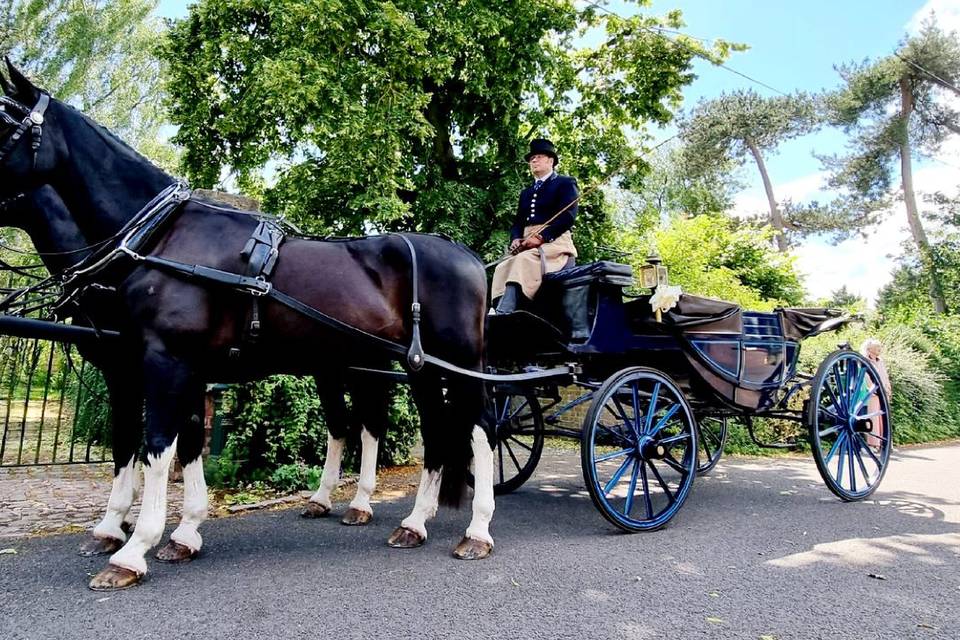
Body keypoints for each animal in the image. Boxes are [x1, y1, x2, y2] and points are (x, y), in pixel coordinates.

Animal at [0, 62, 496, 588]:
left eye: (1, 120)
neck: (159, 239)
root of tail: (465, 254)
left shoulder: (160, 363)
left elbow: (154, 445)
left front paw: (132, 548)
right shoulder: (166, 369)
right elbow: (175, 442)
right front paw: (176, 532)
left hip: (455, 362)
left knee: (478, 428)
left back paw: (476, 530)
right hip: (405, 368)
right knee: (416, 428)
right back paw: (410, 521)